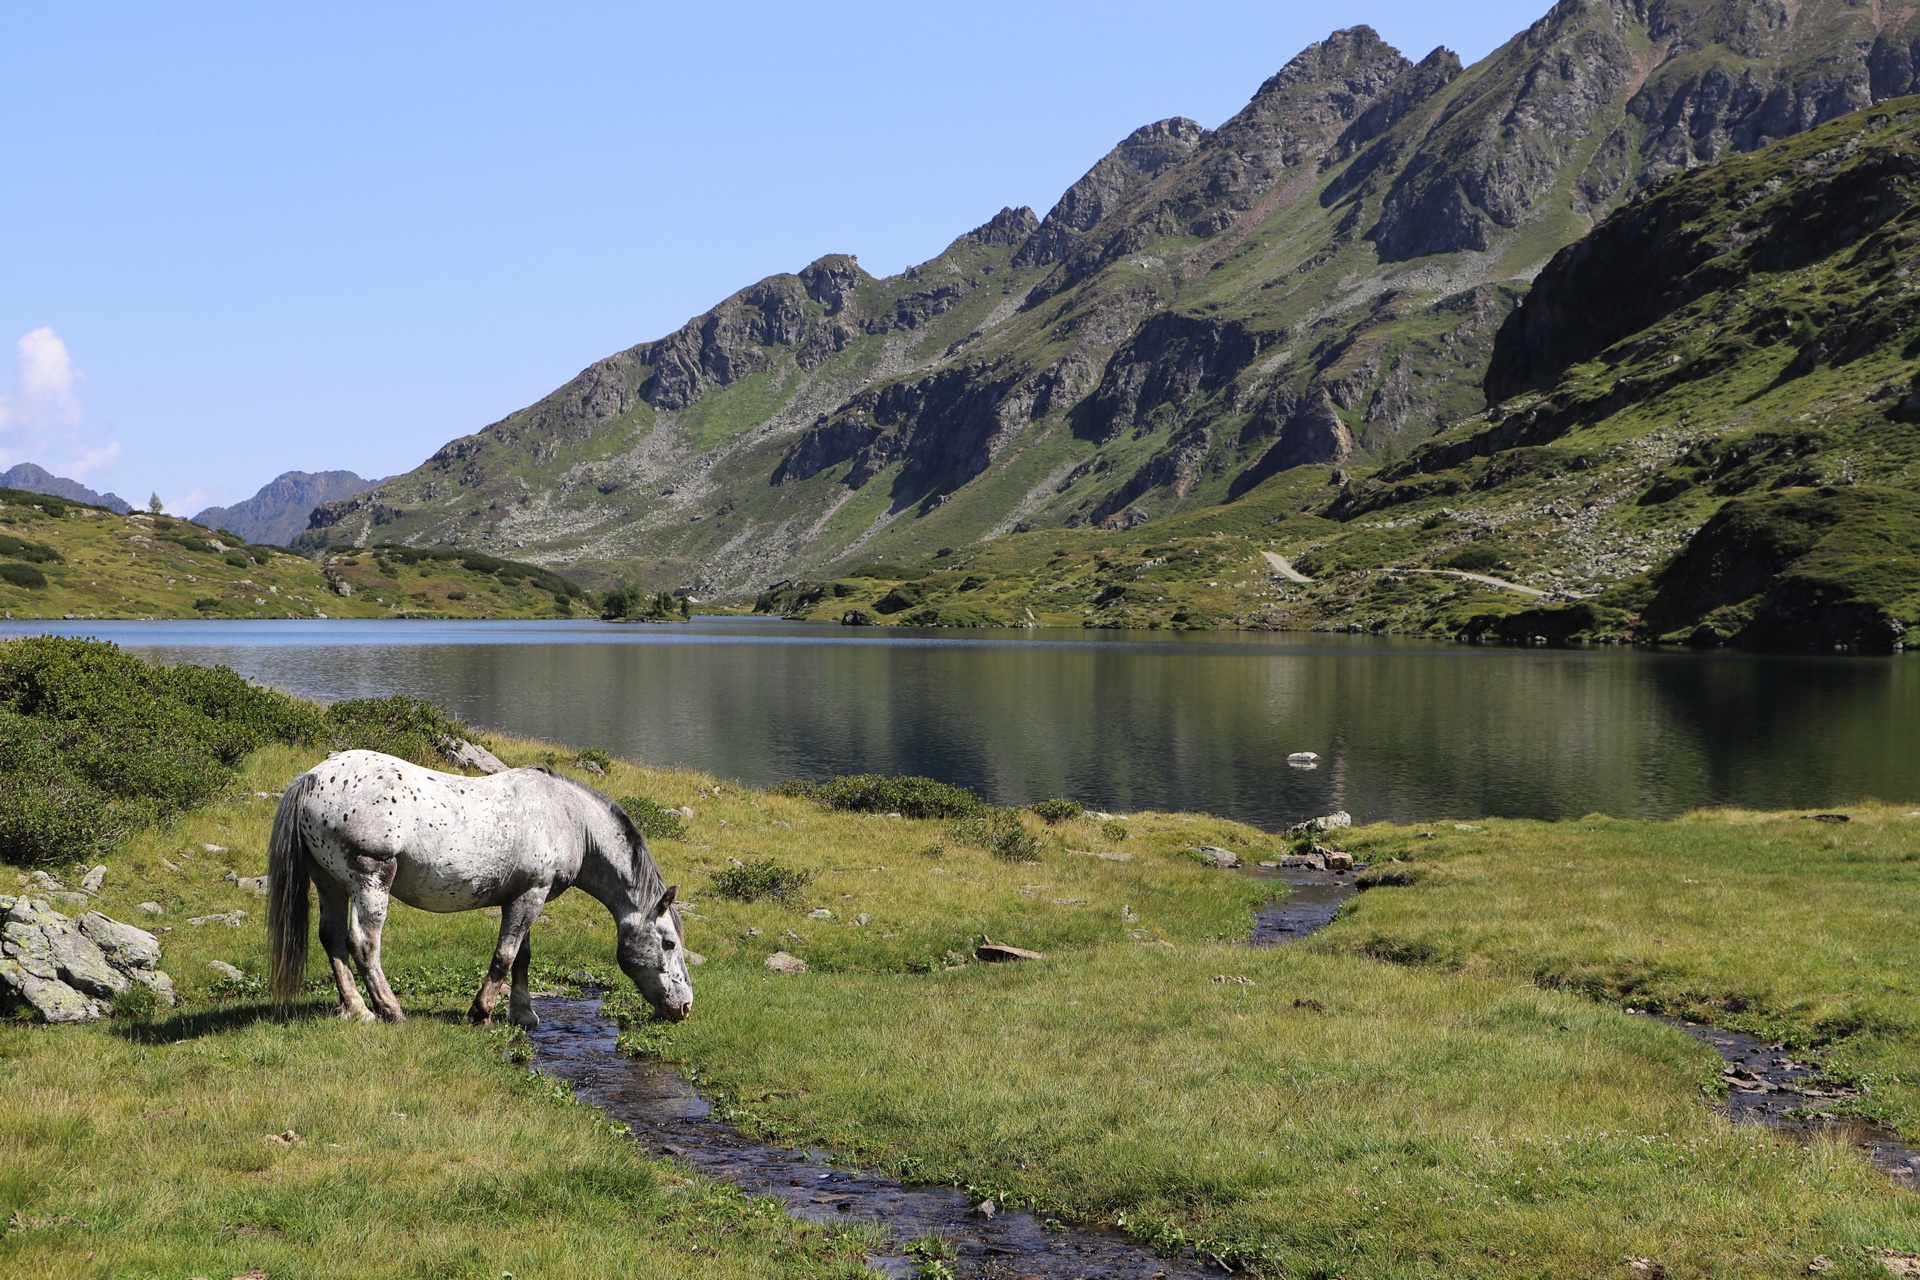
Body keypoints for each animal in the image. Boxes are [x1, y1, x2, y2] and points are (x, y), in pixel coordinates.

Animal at [264, 752, 691, 1028]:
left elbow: (522, 957)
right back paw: (391, 1012)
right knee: (363, 943)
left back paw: (356, 1009)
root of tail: (311, 779)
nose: (685, 1006)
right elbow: (505, 957)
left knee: (333, 938)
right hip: (371, 879)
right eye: (669, 943)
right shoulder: (531, 895)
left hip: (330, 883)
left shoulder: (525, 896)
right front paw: (481, 1014)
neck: (570, 819)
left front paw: (523, 1014)